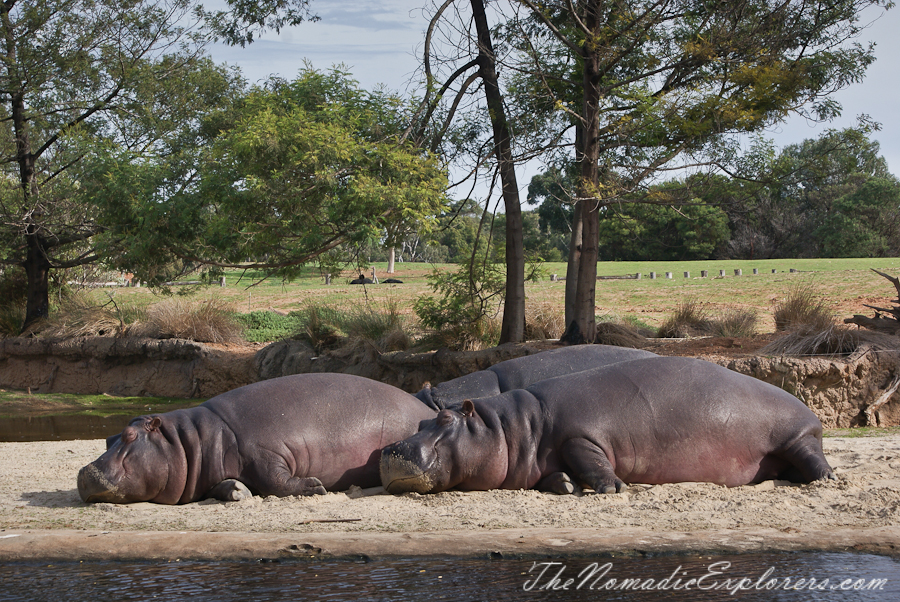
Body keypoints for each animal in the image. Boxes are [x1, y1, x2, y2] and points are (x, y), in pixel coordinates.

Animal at [77, 342, 652, 502]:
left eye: (131, 435)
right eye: (107, 433)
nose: (84, 472)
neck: (193, 439)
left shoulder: (268, 450)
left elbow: (278, 480)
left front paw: (312, 487)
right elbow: (231, 484)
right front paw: (234, 492)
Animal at [378, 356, 828, 492]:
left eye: (446, 418)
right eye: (420, 420)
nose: (389, 449)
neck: (512, 426)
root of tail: (806, 407)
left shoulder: (582, 434)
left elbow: (589, 457)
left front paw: (611, 488)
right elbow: (557, 472)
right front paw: (563, 484)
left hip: (795, 436)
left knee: (812, 454)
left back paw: (825, 479)